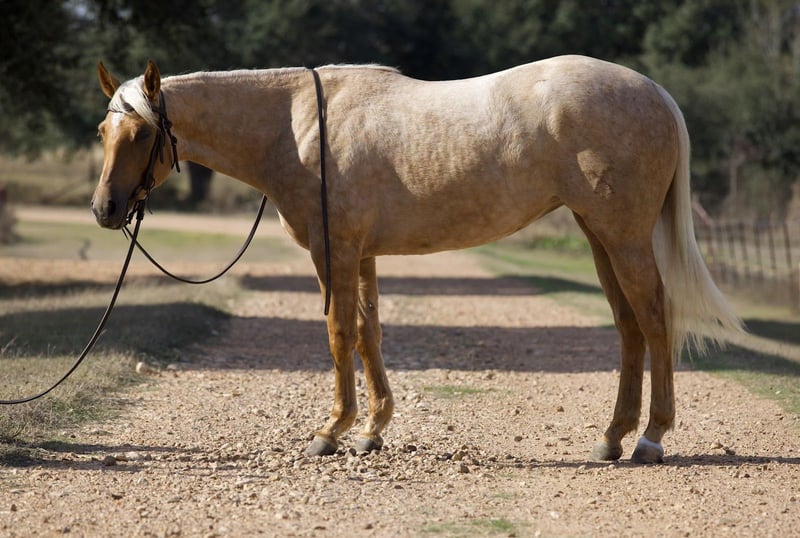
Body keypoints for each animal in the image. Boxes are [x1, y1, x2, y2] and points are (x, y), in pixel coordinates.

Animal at [92, 56, 742, 463]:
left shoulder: (335, 249)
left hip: (622, 235)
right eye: (103, 130)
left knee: (654, 319)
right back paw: (612, 438)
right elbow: (369, 334)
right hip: (599, 235)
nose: (105, 209)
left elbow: (339, 333)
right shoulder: (362, 254)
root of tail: (655, 92)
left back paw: (650, 440)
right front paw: (371, 431)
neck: (296, 126)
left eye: (141, 134)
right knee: (630, 326)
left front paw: (332, 432)